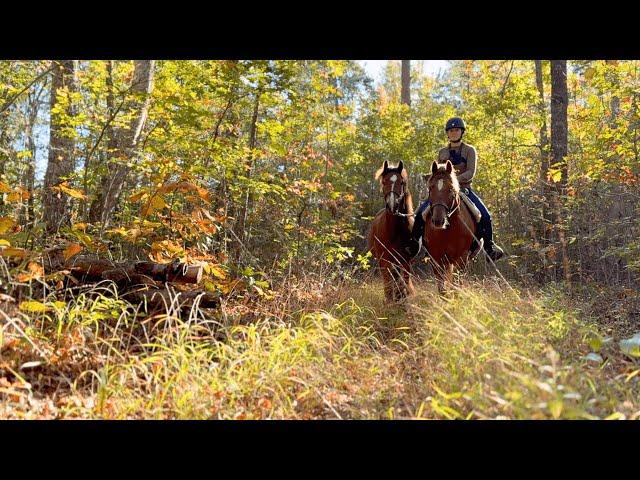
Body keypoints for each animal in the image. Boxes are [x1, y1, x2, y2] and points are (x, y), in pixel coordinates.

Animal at [368, 163, 418, 302]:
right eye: (384, 181)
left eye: (401, 182)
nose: (392, 205)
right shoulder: (385, 260)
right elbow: (388, 284)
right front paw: (390, 301)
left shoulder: (406, 261)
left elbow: (404, 281)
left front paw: (404, 299)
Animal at [422, 160, 478, 292]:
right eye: (430, 188)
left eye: (451, 189)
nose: (438, 220)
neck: (448, 230)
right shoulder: (436, 258)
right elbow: (442, 288)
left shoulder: (462, 258)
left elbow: (457, 285)